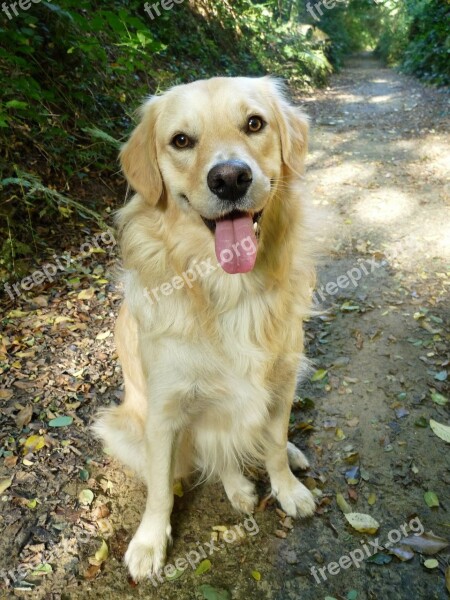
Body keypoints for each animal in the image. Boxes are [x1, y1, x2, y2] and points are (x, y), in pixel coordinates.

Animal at [93, 74, 316, 580]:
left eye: (254, 123)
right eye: (181, 140)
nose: (230, 178)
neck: (229, 289)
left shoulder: (282, 381)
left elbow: (274, 444)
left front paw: (287, 488)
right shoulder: (166, 409)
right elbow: (160, 488)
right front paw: (150, 542)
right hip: (123, 426)